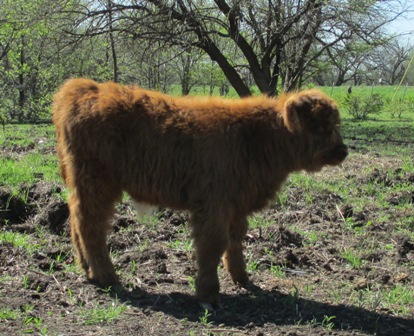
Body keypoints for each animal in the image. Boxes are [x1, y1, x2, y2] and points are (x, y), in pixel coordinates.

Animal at [52, 79, 350, 308]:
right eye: (320, 127)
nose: (343, 150)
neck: (255, 139)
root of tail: (86, 88)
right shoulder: (214, 204)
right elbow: (213, 245)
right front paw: (208, 294)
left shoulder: (236, 204)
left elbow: (235, 240)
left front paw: (242, 278)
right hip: (97, 184)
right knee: (90, 226)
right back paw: (107, 276)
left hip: (83, 185)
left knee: (76, 222)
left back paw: (88, 270)